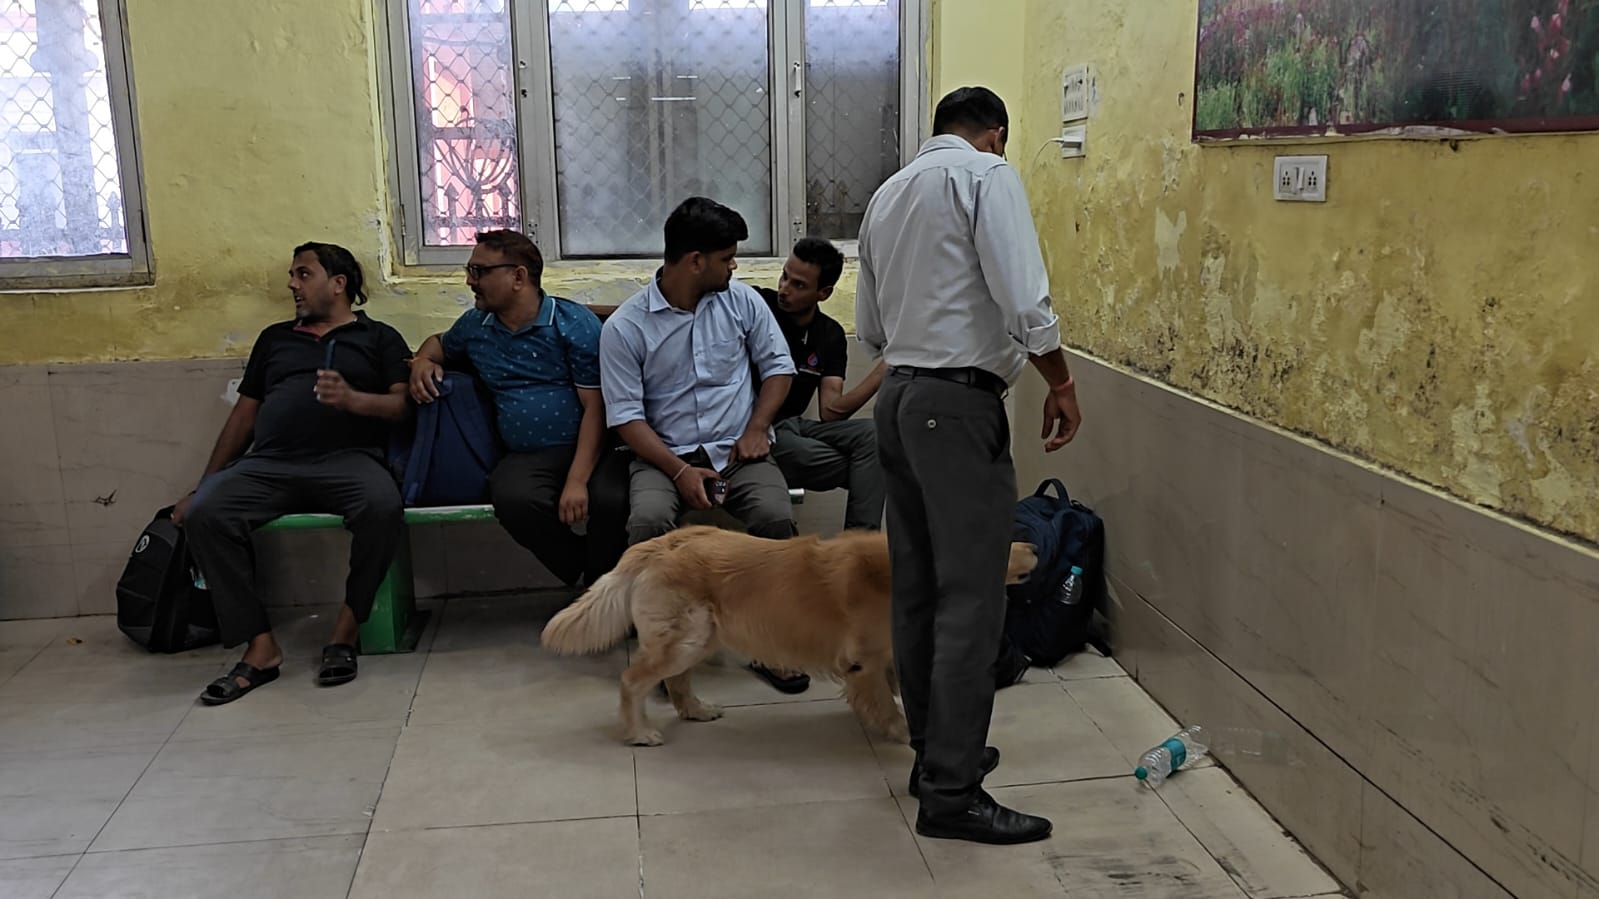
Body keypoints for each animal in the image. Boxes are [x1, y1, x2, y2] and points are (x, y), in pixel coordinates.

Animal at [540, 525, 1039, 747]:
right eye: (999, 545)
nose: (1034, 547)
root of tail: (658, 543)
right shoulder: (864, 660)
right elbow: (886, 701)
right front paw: (903, 730)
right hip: (684, 638)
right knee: (634, 681)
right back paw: (639, 732)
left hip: (700, 637)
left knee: (677, 683)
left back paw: (697, 711)